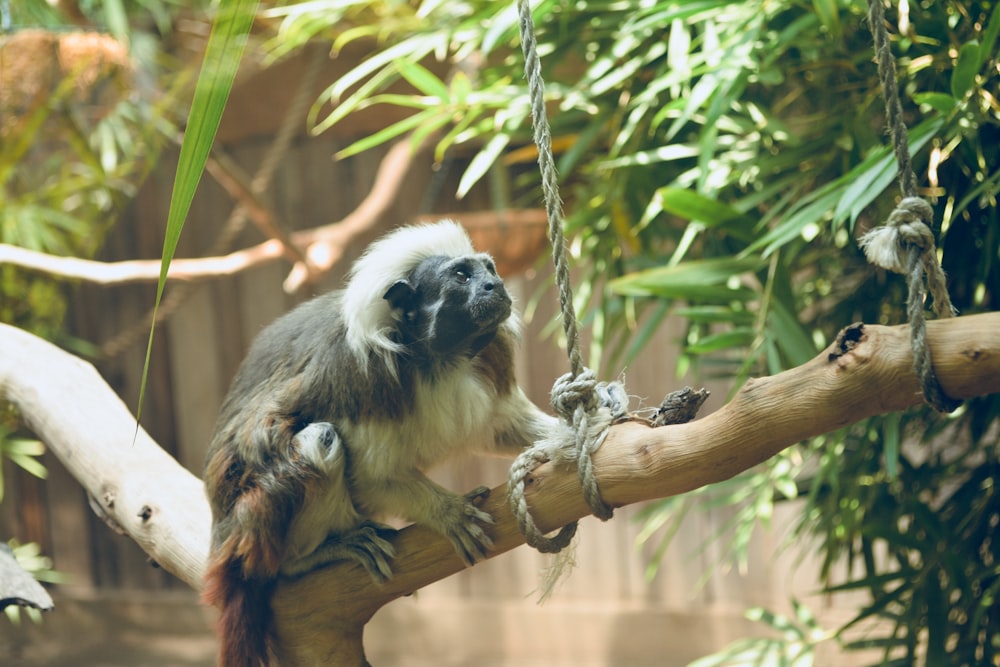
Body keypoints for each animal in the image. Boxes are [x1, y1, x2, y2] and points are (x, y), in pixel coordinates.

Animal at [202, 222, 564, 664]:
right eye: (462, 276)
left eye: (489, 269)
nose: (494, 286)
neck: (437, 359)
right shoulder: (363, 377)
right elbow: (371, 474)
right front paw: (446, 511)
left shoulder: (488, 361)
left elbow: (502, 425)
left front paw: (591, 419)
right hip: (257, 521)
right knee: (320, 439)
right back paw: (313, 555)